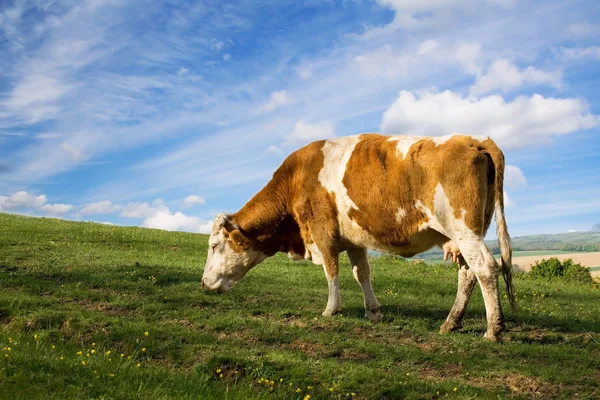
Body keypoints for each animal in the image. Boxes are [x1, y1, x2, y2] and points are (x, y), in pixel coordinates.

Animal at [202, 134, 516, 340]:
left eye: (215, 245)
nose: (204, 282)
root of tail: (474, 140)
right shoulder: (354, 239)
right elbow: (361, 273)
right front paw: (373, 312)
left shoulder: (322, 231)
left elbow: (332, 271)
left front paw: (331, 309)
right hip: (462, 235)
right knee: (468, 274)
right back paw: (451, 323)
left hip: (464, 230)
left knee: (485, 268)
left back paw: (493, 328)